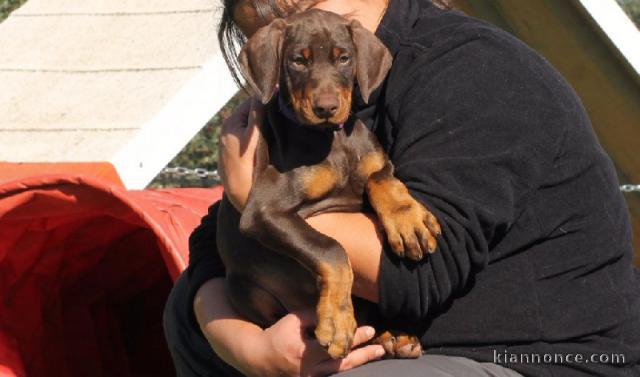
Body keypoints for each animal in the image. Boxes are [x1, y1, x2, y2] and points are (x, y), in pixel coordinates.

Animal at [215, 7, 440, 356]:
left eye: (344, 58)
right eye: (298, 60)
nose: (326, 108)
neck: (331, 139)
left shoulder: (377, 162)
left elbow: (380, 180)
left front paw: (408, 221)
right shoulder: (263, 211)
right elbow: (330, 248)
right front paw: (336, 321)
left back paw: (394, 335)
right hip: (244, 287)